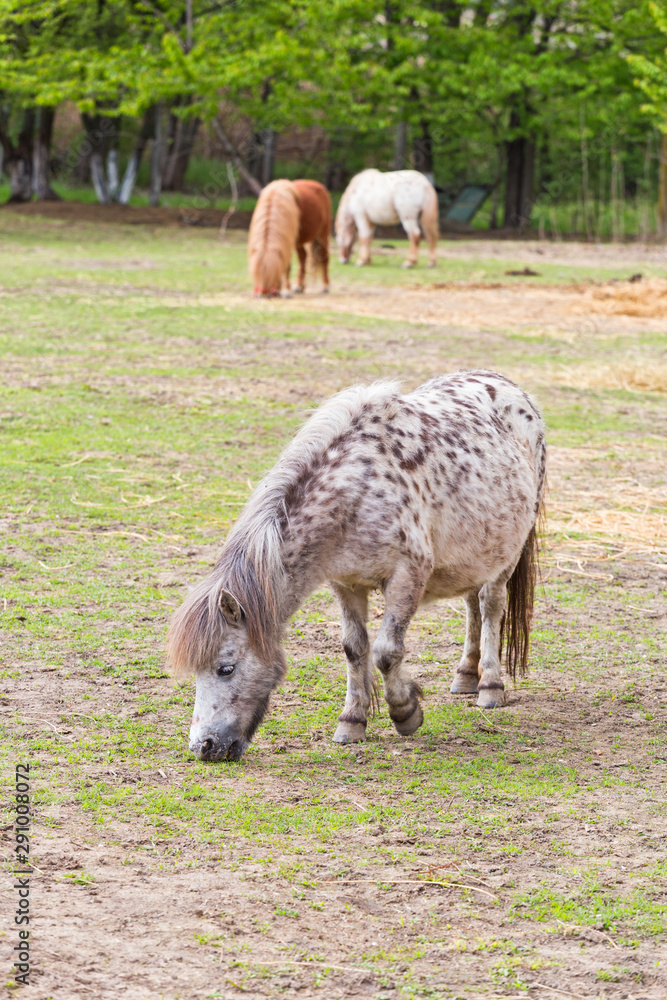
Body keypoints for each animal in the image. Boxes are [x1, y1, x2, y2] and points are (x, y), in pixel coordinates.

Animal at [168, 372, 548, 760]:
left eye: (225, 668)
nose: (204, 746)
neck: (357, 491)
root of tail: (512, 389)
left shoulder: (407, 577)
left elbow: (385, 652)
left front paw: (405, 712)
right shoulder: (345, 584)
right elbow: (354, 649)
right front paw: (352, 721)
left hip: (507, 553)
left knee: (490, 607)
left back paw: (490, 686)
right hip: (474, 554)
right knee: (472, 605)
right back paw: (466, 676)